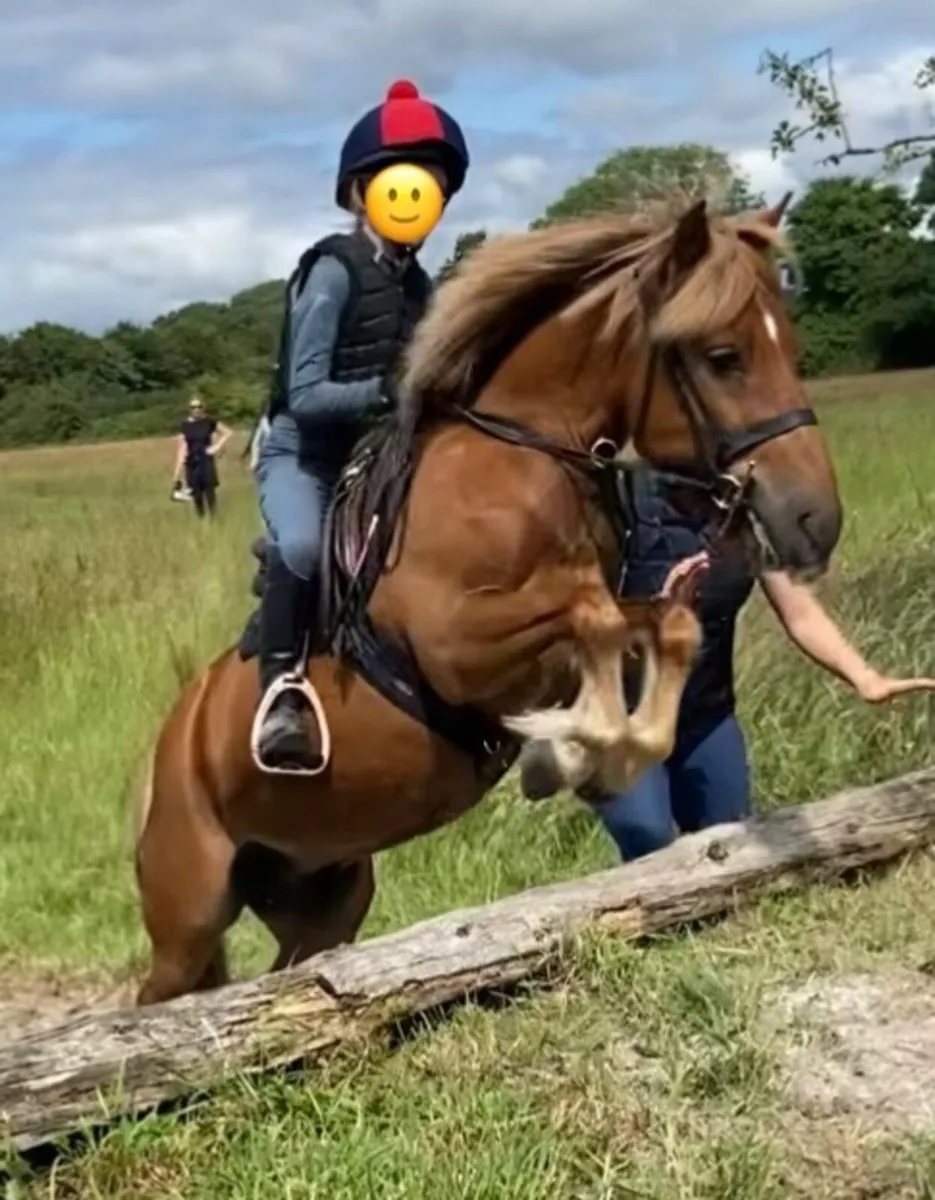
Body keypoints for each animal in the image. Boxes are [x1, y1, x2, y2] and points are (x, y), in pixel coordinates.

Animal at [134, 196, 842, 1005]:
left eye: (789, 345)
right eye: (724, 357)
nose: (815, 520)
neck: (520, 454)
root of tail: (165, 748)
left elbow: (668, 628)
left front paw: (579, 754)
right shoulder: (457, 647)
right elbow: (596, 618)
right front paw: (568, 752)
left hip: (325, 890)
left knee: (291, 969)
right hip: (189, 911)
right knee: (157, 993)